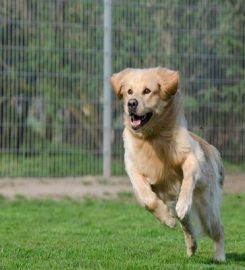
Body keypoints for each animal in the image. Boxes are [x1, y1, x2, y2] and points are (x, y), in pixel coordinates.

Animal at [111, 67, 226, 262]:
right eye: (129, 92)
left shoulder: (191, 157)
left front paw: (182, 204)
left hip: (206, 208)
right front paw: (168, 219)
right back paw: (191, 245)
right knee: (187, 224)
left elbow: (187, 179)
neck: (153, 137)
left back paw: (219, 256)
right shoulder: (133, 169)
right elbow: (148, 199)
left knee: (217, 229)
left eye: (147, 91)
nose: (131, 104)